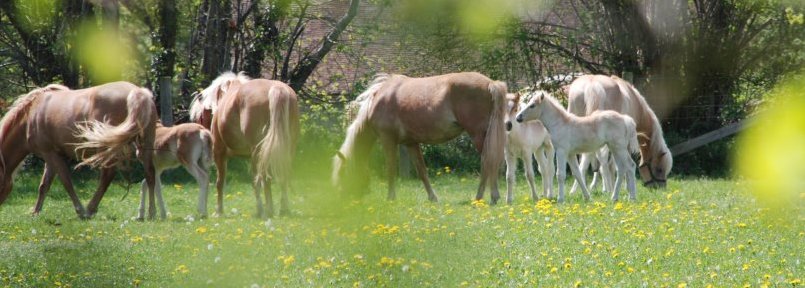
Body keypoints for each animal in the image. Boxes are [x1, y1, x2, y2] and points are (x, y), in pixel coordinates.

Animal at [0, 82, 157, 217]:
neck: (30, 114)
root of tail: (137, 91)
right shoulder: (51, 157)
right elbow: (44, 185)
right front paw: (35, 212)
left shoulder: (50, 154)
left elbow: (66, 182)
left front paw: (80, 210)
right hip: (145, 145)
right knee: (150, 174)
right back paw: (151, 213)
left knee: (107, 175)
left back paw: (90, 209)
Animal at [190, 72, 300, 218]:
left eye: (200, 117)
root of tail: (276, 89)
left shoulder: (219, 153)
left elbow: (220, 182)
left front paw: (219, 211)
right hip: (286, 149)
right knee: (282, 176)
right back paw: (282, 209)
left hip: (258, 152)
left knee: (261, 180)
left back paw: (264, 210)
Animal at [336, 72, 506, 204]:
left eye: (343, 174)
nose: (344, 198)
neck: (376, 101)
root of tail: (490, 83)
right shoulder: (411, 143)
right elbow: (422, 171)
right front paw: (433, 197)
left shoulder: (388, 140)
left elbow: (391, 168)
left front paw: (390, 197)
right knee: (493, 161)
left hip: (478, 135)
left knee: (487, 161)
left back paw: (483, 197)